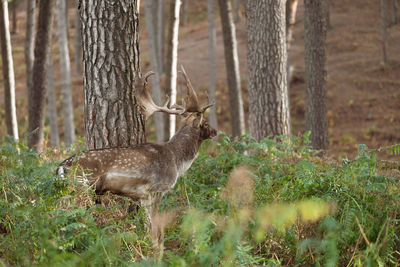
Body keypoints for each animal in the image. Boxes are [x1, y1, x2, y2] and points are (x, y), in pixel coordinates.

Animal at [57, 66, 216, 247]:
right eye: (205, 123)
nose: (215, 131)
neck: (177, 160)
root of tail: (61, 166)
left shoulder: (143, 196)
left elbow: (148, 225)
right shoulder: (157, 189)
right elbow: (155, 226)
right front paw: (157, 247)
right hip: (81, 186)